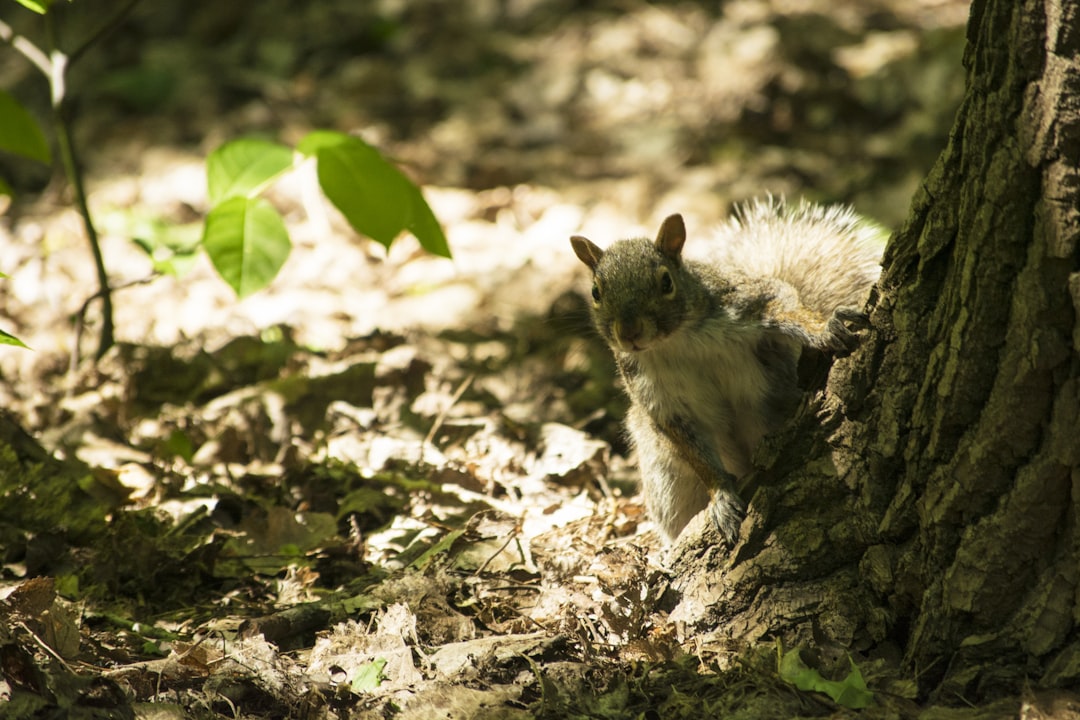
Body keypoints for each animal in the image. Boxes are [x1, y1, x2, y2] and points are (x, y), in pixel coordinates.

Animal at [570, 197, 881, 546]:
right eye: (596, 292)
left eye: (666, 282)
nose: (629, 332)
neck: (673, 342)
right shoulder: (661, 400)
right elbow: (696, 453)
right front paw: (721, 497)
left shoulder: (745, 300)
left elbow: (784, 307)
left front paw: (823, 328)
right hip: (666, 481)